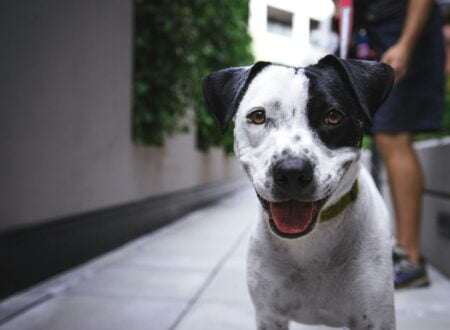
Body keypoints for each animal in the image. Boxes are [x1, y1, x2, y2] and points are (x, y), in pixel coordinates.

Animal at [202, 55, 396, 328]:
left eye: (333, 117)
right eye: (258, 116)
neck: (311, 241)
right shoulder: (269, 316)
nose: (292, 172)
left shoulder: (375, 318)